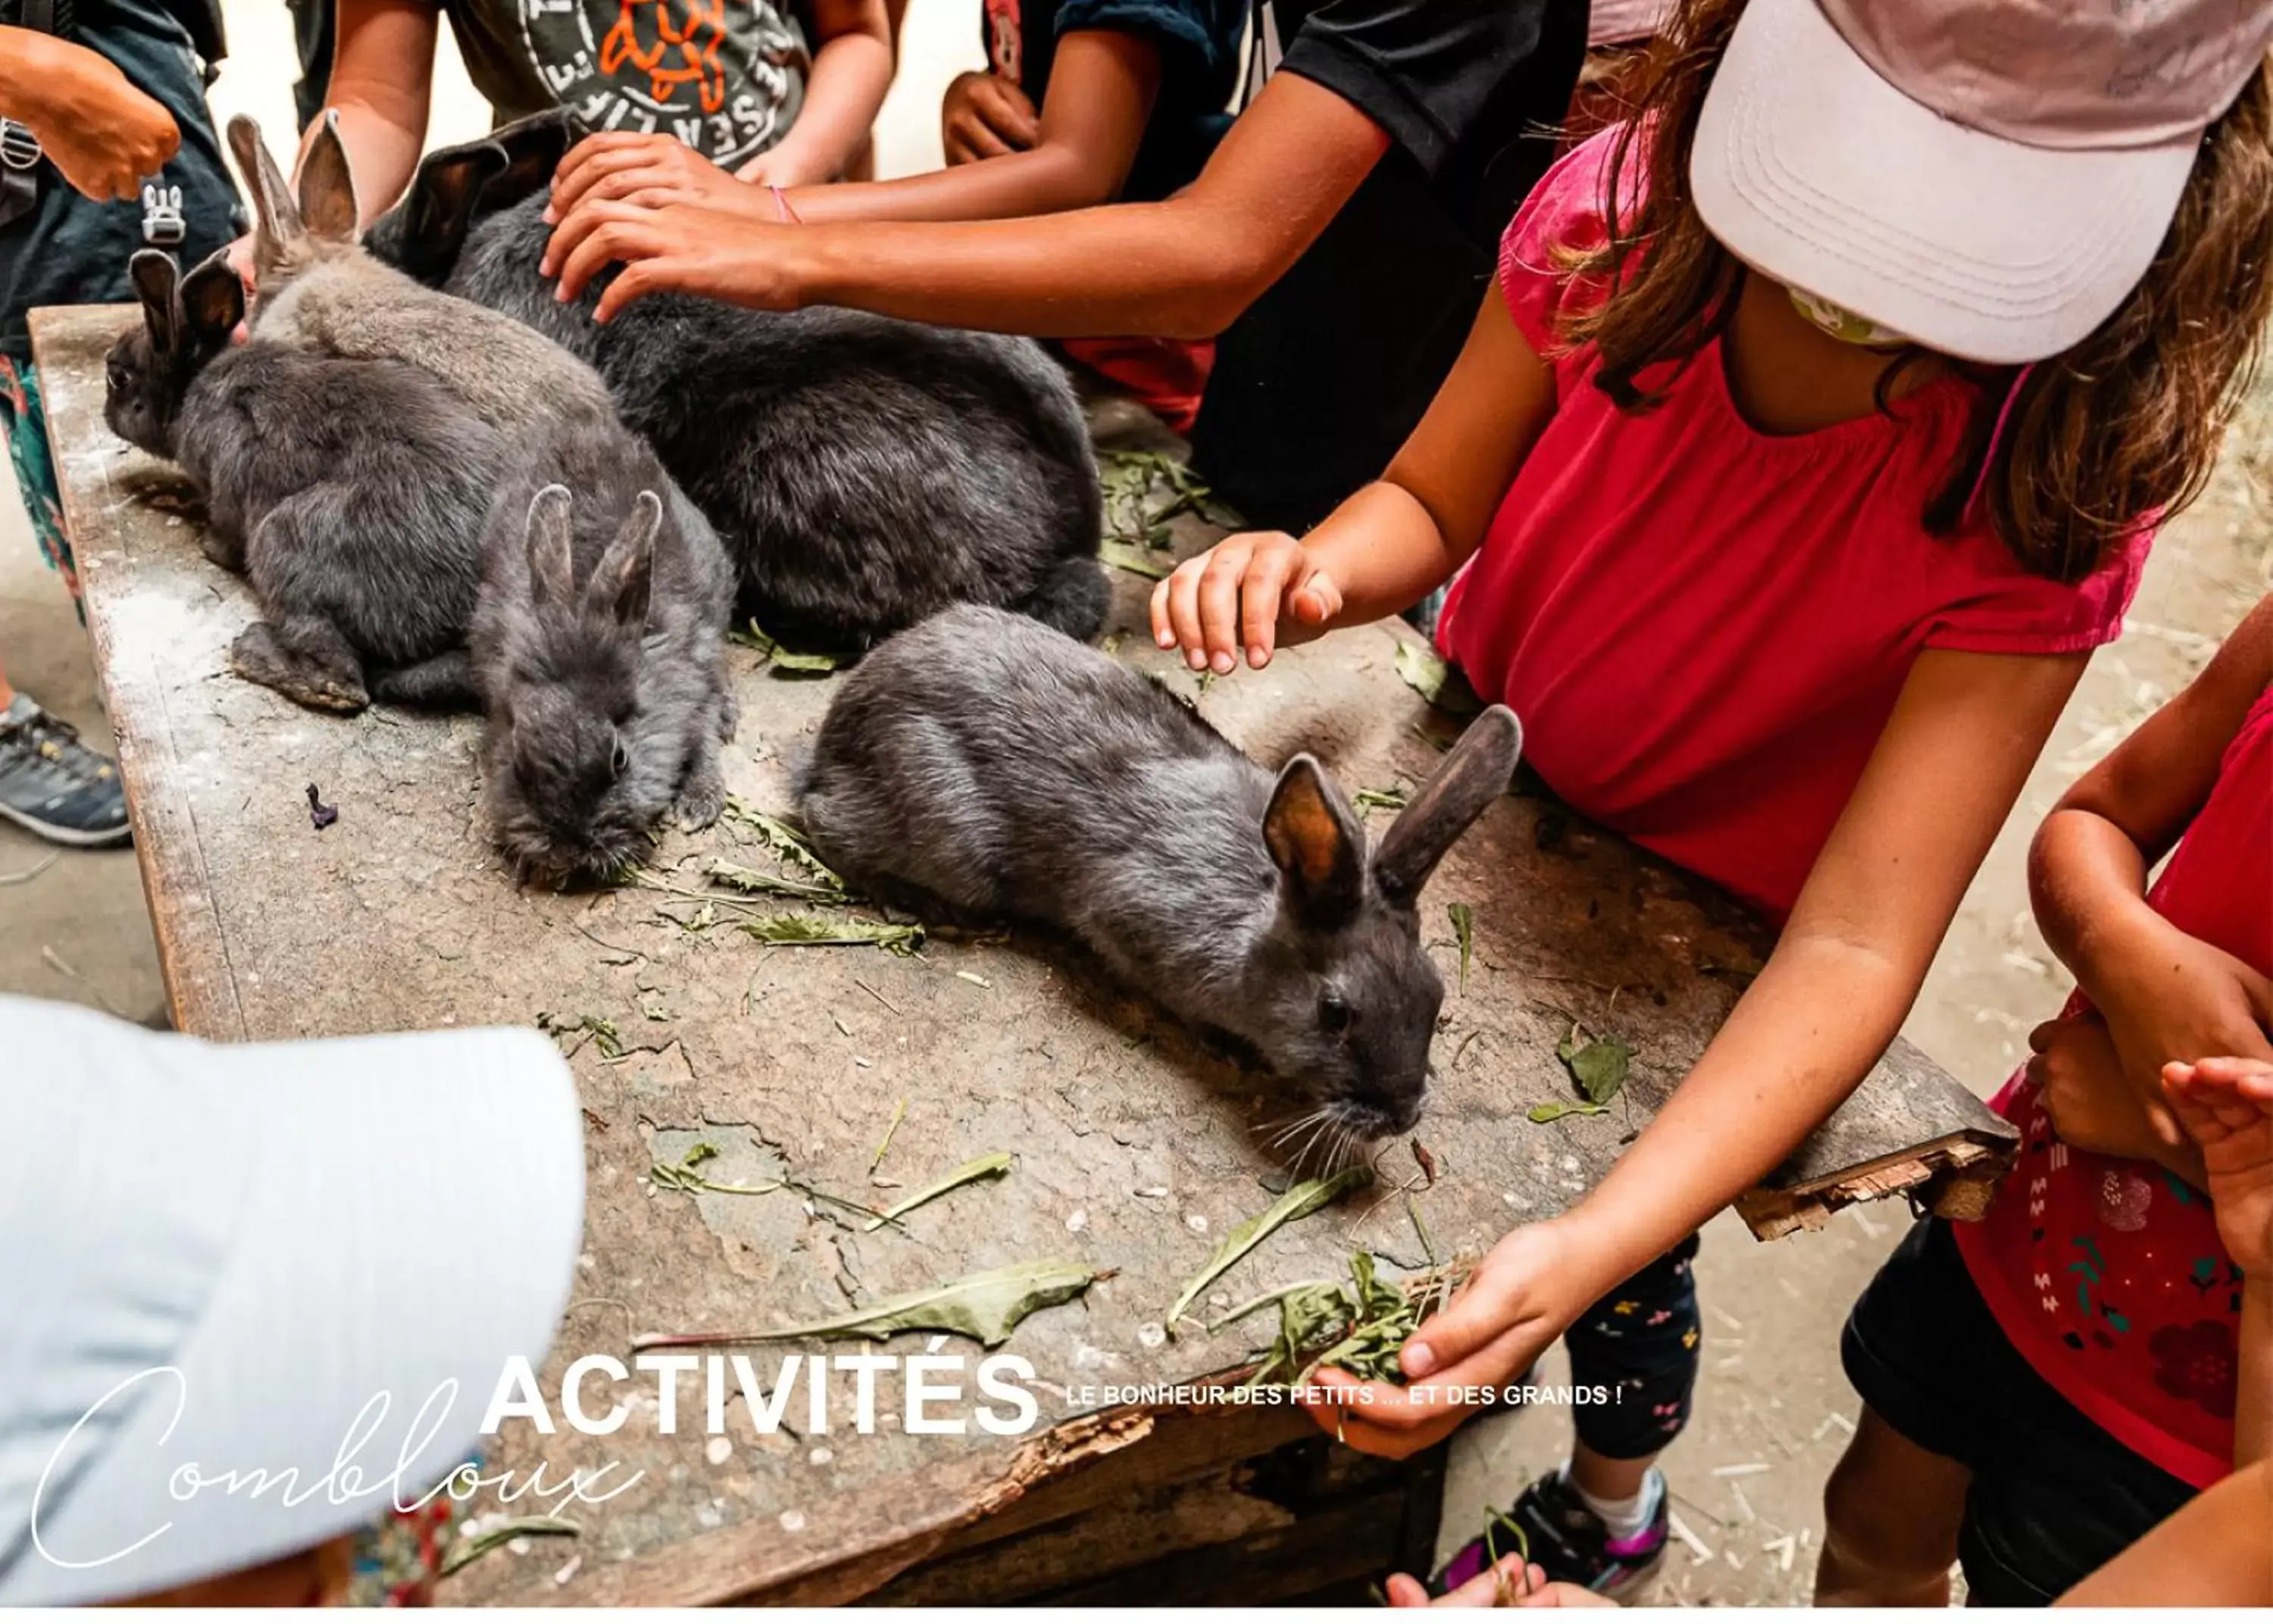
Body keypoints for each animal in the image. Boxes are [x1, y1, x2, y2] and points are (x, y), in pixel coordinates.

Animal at [103, 246, 507, 713]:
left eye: (118, 377)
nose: (106, 415)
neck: (194, 385)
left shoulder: (225, 487)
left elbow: (224, 527)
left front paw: (211, 548)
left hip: (285, 540)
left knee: (342, 681)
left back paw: (253, 651)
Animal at [473, 406, 736, 890]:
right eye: (518, 764)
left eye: (620, 759)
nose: (568, 849)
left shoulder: (696, 668)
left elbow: (705, 736)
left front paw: (699, 805)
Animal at [800, 608, 1527, 1145]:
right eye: (1335, 1013)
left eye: (1435, 996)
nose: (1401, 1118)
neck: (1253, 928)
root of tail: (842, 720)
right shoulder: (1128, 919)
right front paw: (1230, 1051)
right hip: (949, 834)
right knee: (822, 821)